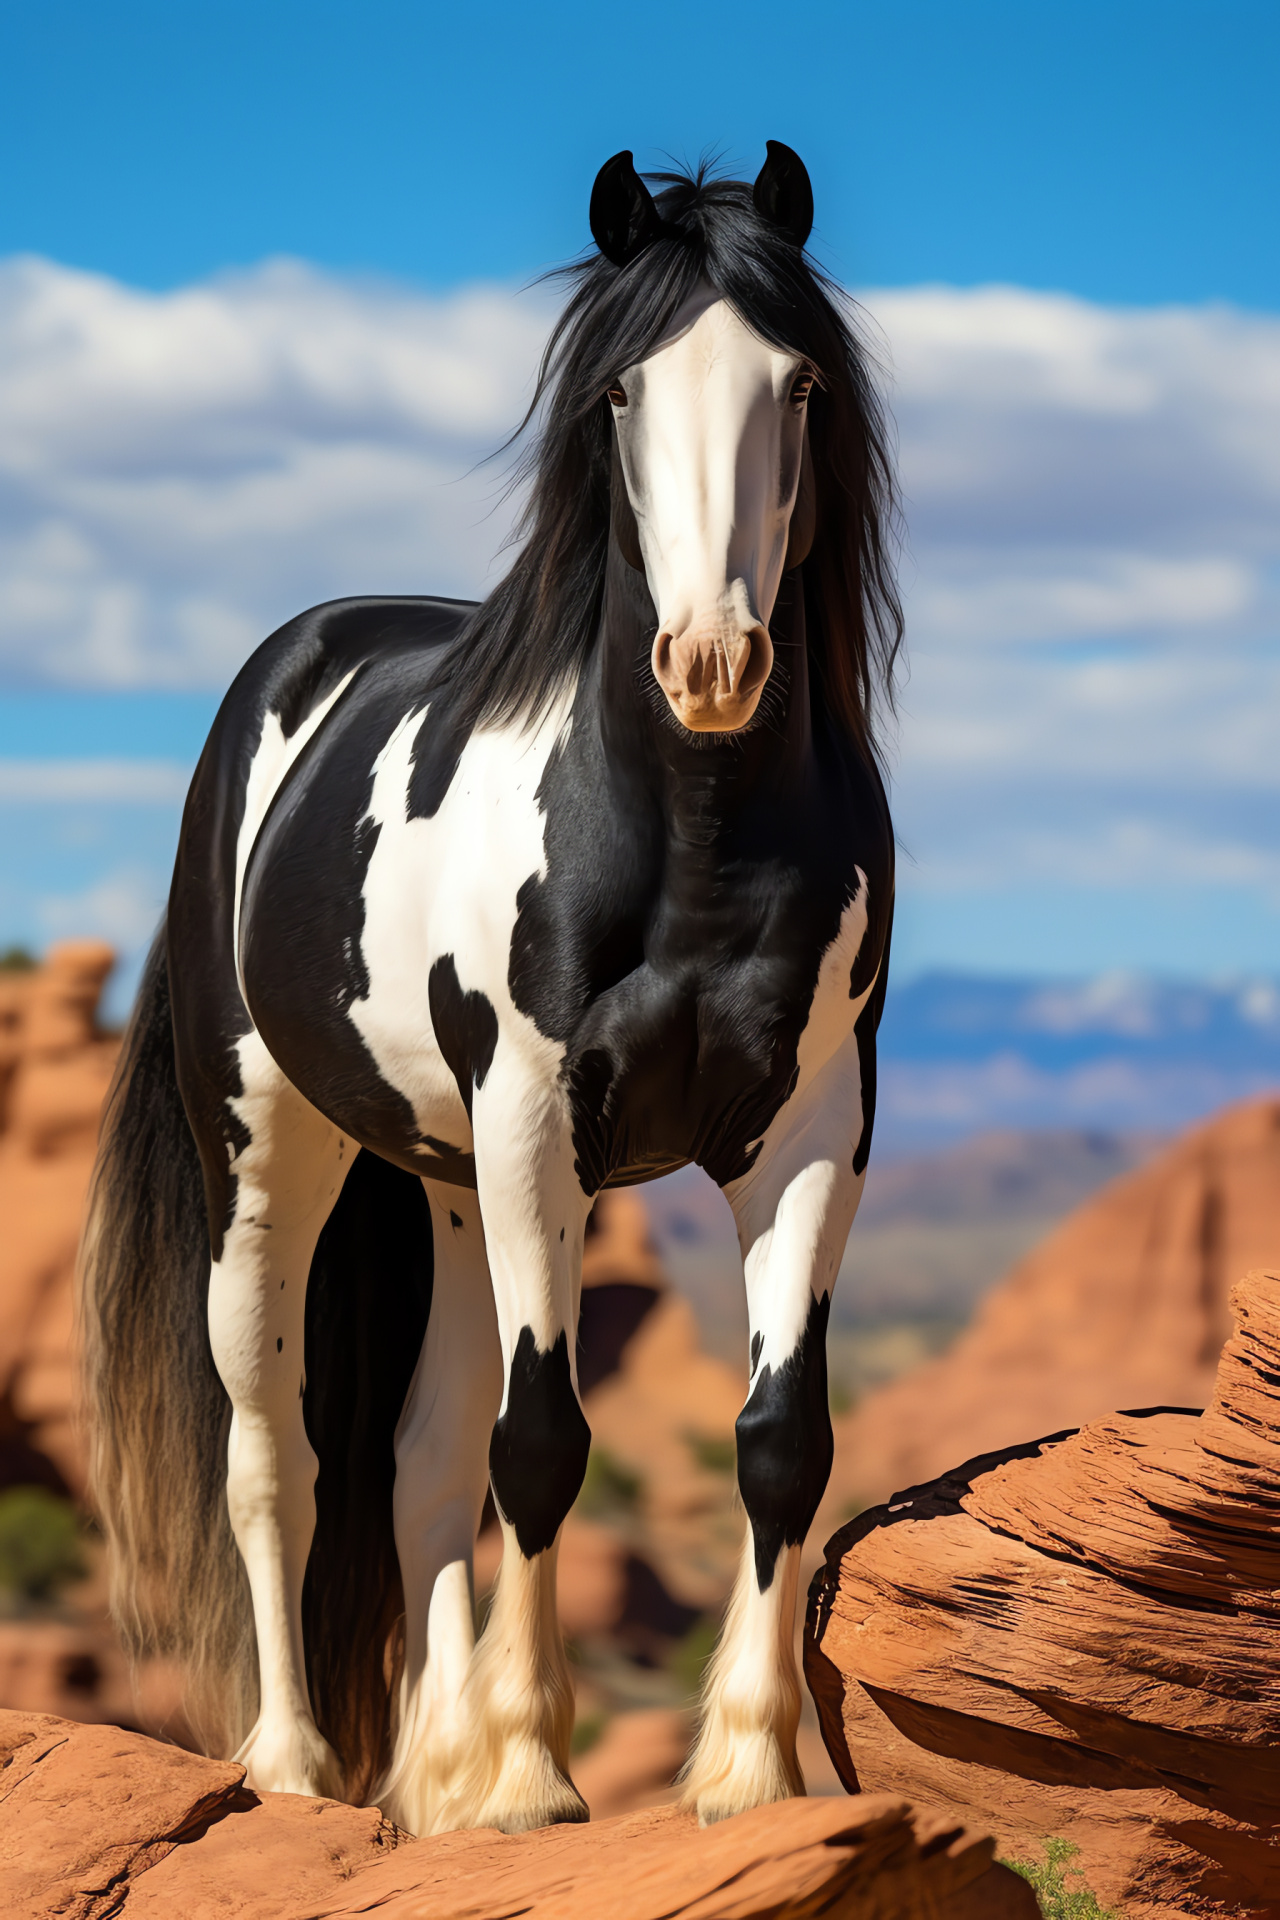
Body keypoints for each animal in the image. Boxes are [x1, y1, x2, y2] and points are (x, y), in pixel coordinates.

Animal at [82, 145, 901, 1827]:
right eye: (620, 394)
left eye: (796, 383)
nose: (712, 666)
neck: (689, 838)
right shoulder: (538, 1124)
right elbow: (544, 1443)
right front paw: (533, 1779)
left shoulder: (813, 1134)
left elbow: (778, 1440)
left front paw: (748, 1769)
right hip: (274, 1154)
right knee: (280, 1454)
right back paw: (295, 1765)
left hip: (451, 1185)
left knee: (418, 1457)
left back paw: (431, 1777)